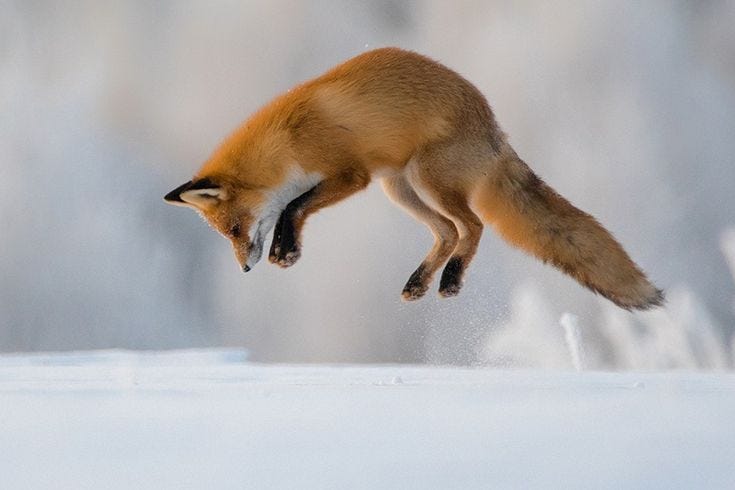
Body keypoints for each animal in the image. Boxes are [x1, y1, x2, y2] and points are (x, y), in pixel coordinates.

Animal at [167, 46, 668, 310]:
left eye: (236, 229)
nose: (244, 268)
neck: (288, 142)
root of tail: (495, 131)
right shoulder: (349, 181)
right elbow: (294, 206)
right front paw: (284, 249)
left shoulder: (350, 175)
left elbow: (294, 205)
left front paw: (284, 250)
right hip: (400, 189)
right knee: (447, 232)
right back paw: (420, 282)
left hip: (425, 179)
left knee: (473, 226)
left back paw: (451, 280)